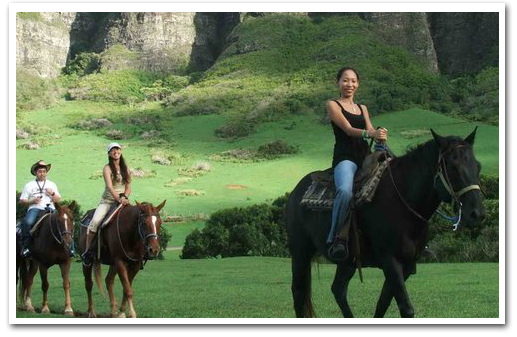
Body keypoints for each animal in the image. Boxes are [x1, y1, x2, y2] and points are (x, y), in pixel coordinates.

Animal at [284, 127, 486, 316]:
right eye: (452, 166)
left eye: (478, 166)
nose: (476, 214)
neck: (403, 199)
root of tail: (295, 192)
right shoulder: (390, 261)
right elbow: (406, 308)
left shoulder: (406, 266)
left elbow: (382, 304)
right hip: (300, 253)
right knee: (299, 294)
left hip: (347, 261)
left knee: (338, 289)